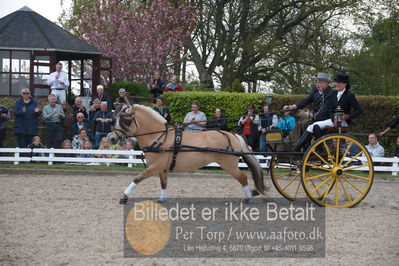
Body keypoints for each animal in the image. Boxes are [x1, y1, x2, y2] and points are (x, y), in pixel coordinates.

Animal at [108, 104, 268, 204]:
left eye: (125, 120)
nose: (112, 138)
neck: (159, 136)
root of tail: (232, 135)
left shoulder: (154, 167)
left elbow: (137, 178)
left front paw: (124, 197)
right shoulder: (160, 168)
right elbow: (163, 183)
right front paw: (162, 199)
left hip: (229, 165)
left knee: (242, 178)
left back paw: (248, 197)